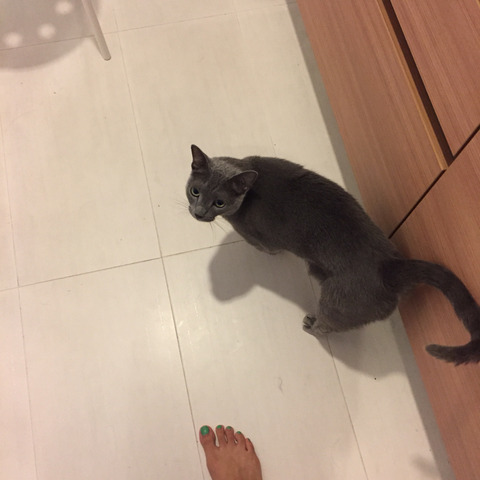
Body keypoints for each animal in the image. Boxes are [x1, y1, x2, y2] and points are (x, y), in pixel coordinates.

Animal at [186, 144, 480, 365]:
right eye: (195, 191)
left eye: (219, 202)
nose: (198, 213)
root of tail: (390, 265)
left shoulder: (258, 236)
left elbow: (267, 248)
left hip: (338, 302)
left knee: (330, 323)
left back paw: (311, 323)